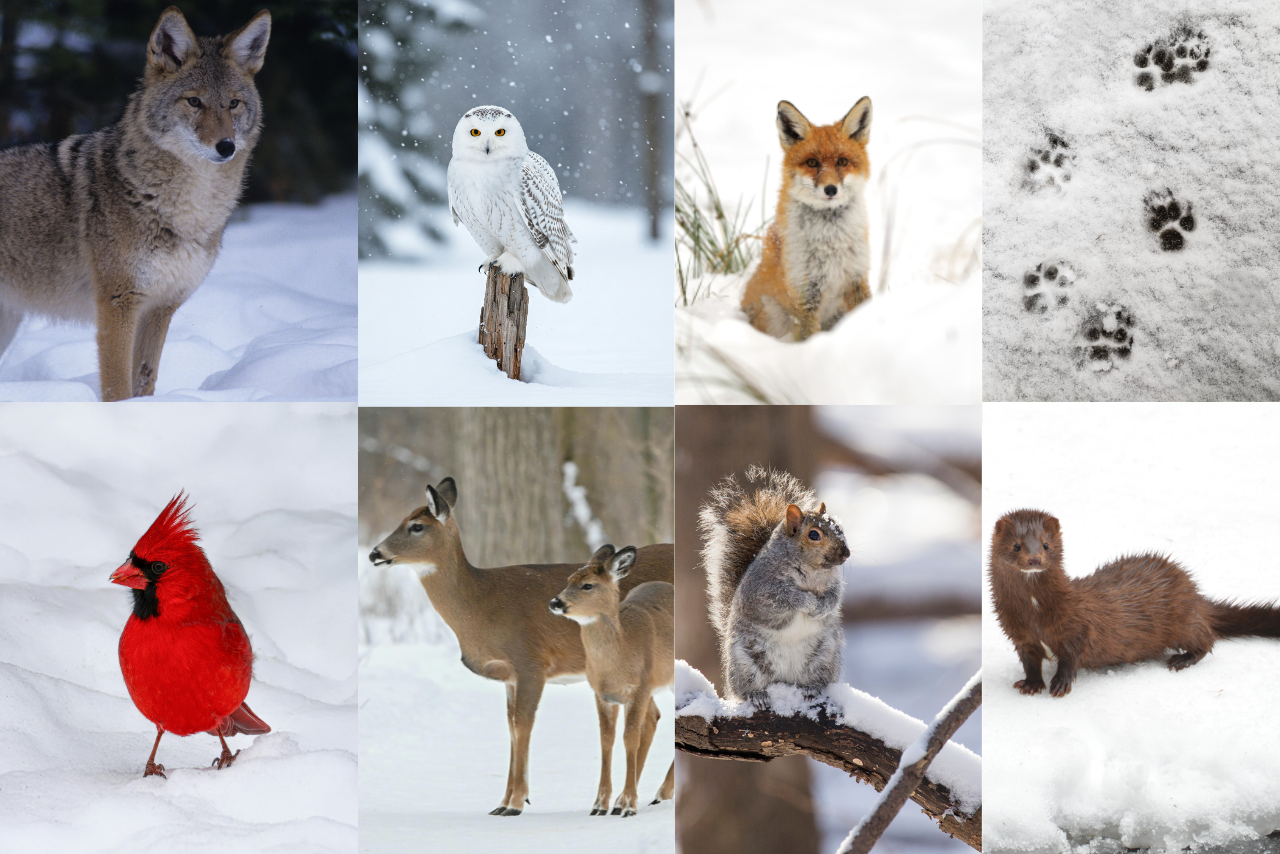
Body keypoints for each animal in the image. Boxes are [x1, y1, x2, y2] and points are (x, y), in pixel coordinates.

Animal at [0, 6, 271, 401]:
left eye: (233, 104)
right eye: (194, 101)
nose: (226, 146)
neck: (188, 211)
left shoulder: (160, 308)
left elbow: (145, 379)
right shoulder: (119, 304)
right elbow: (117, 387)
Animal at [741, 98, 873, 341]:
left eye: (842, 161)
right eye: (812, 163)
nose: (830, 189)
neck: (831, 241)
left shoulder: (856, 278)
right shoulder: (805, 291)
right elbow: (807, 336)